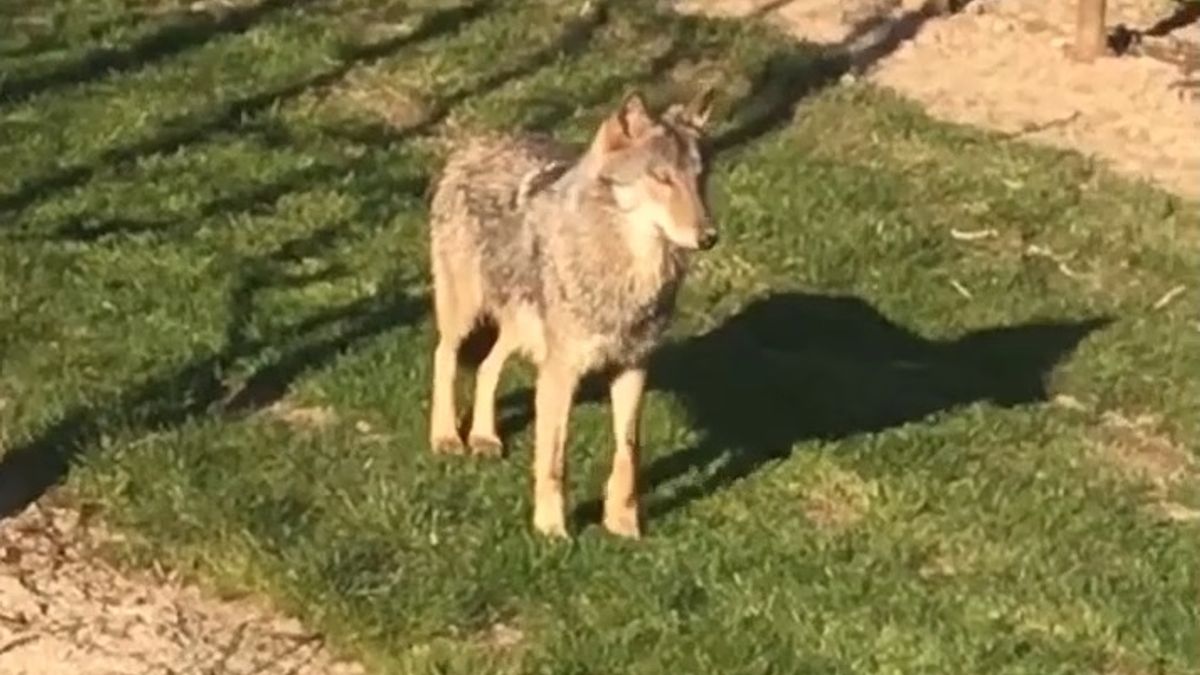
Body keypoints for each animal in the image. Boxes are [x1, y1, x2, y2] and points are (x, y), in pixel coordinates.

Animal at [425, 89, 717, 538]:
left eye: (699, 179)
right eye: (662, 178)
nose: (709, 237)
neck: (626, 276)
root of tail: (477, 143)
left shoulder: (633, 367)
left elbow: (628, 454)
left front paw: (623, 524)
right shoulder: (562, 373)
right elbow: (554, 461)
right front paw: (551, 530)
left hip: (521, 330)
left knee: (489, 366)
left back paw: (484, 438)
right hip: (467, 316)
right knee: (445, 358)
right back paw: (446, 438)